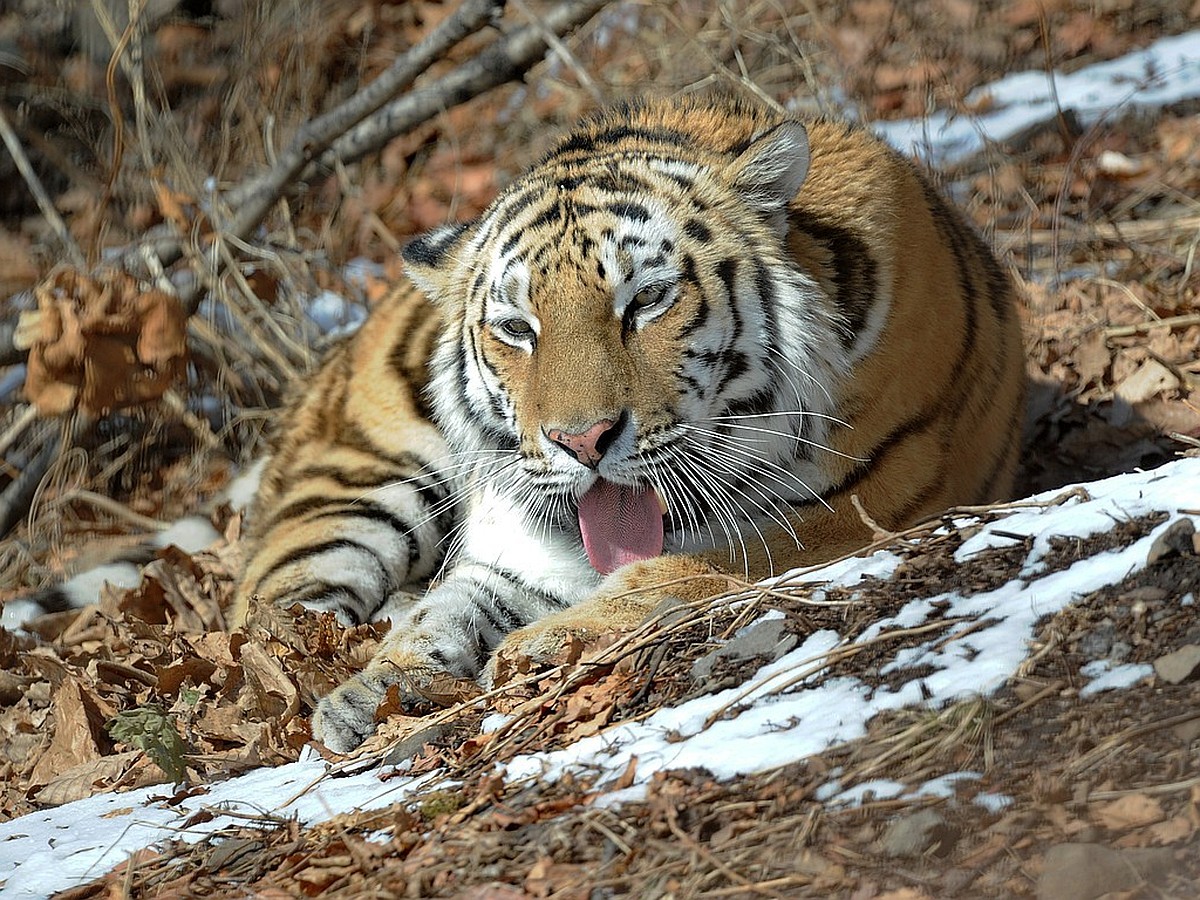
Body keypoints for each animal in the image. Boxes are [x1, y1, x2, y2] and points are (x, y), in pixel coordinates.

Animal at [229, 95, 1027, 753]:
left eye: (645, 301)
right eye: (517, 329)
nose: (581, 442)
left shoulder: (853, 511)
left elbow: (685, 569)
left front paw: (543, 645)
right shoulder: (518, 542)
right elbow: (445, 614)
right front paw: (371, 693)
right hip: (355, 491)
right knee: (269, 622)